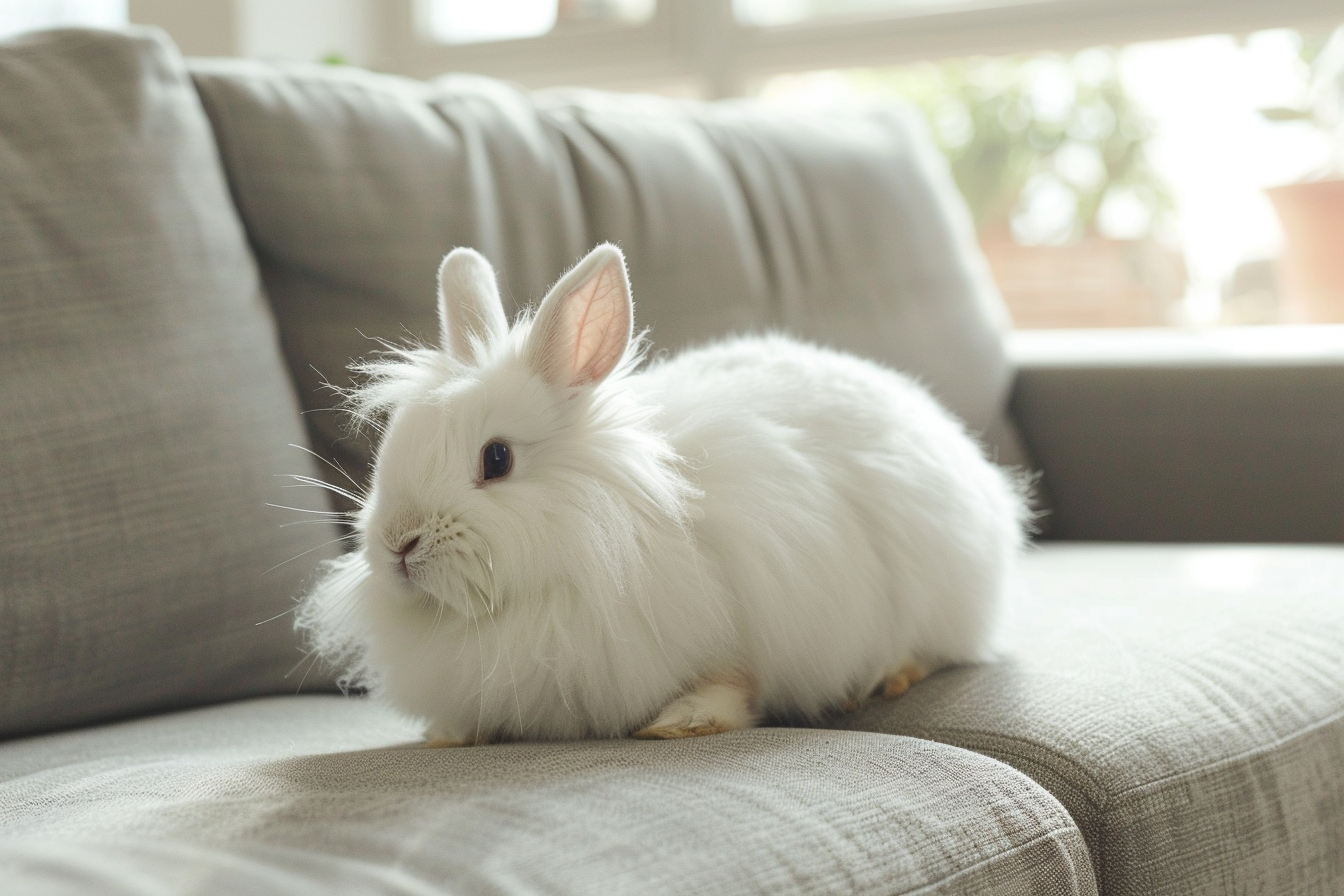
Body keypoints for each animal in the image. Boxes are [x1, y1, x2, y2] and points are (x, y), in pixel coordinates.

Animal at [298, 243, 1027, 745]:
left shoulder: (752, 614)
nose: (397, 544)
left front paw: (682, 722)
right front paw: (448, 735)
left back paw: (886, 676)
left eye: (497, 459)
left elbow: (733, 682)